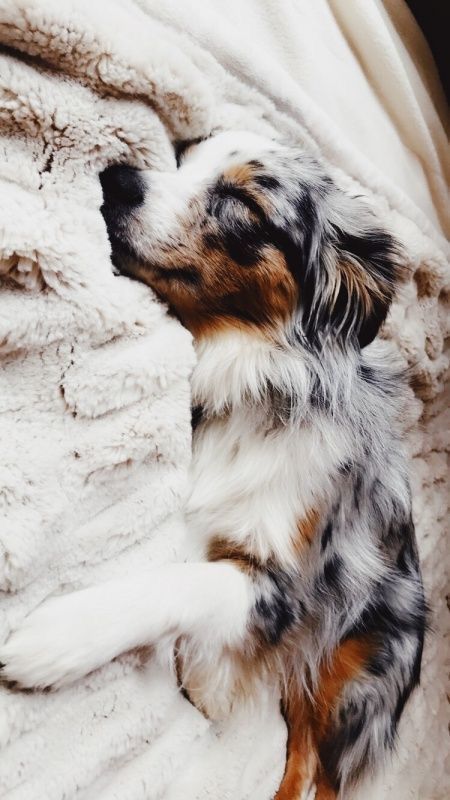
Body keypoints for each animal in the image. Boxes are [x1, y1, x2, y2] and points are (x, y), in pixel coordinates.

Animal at [0, 134, 426, 800]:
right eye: (181, 157)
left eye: (243, 204)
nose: (116, 179)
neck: (250, 379)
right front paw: (206, 678)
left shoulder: (288, 588)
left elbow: (184, 581)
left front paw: (65, 633)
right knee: (298, 743)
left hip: (355, 678)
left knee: (321, 765)